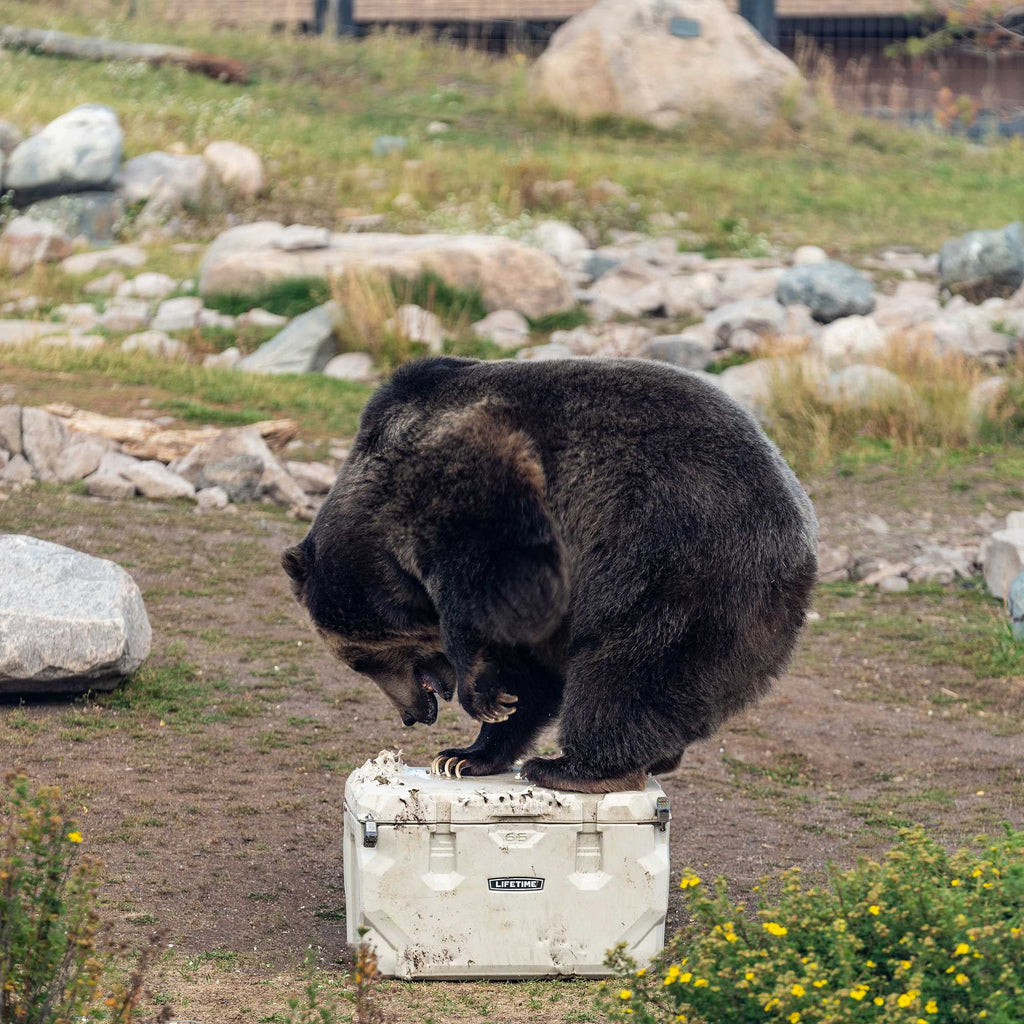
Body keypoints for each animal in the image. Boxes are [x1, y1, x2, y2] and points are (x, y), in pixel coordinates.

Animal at [283, 356, 818, 793]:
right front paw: (467, 751)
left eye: (361, 661)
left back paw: (576, 767)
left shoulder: (466, 488)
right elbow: (527, 674)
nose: (412, 716)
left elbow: (494, 577)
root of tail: (803, 540)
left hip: (678, 564)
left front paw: (480, 697)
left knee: (628, 671)